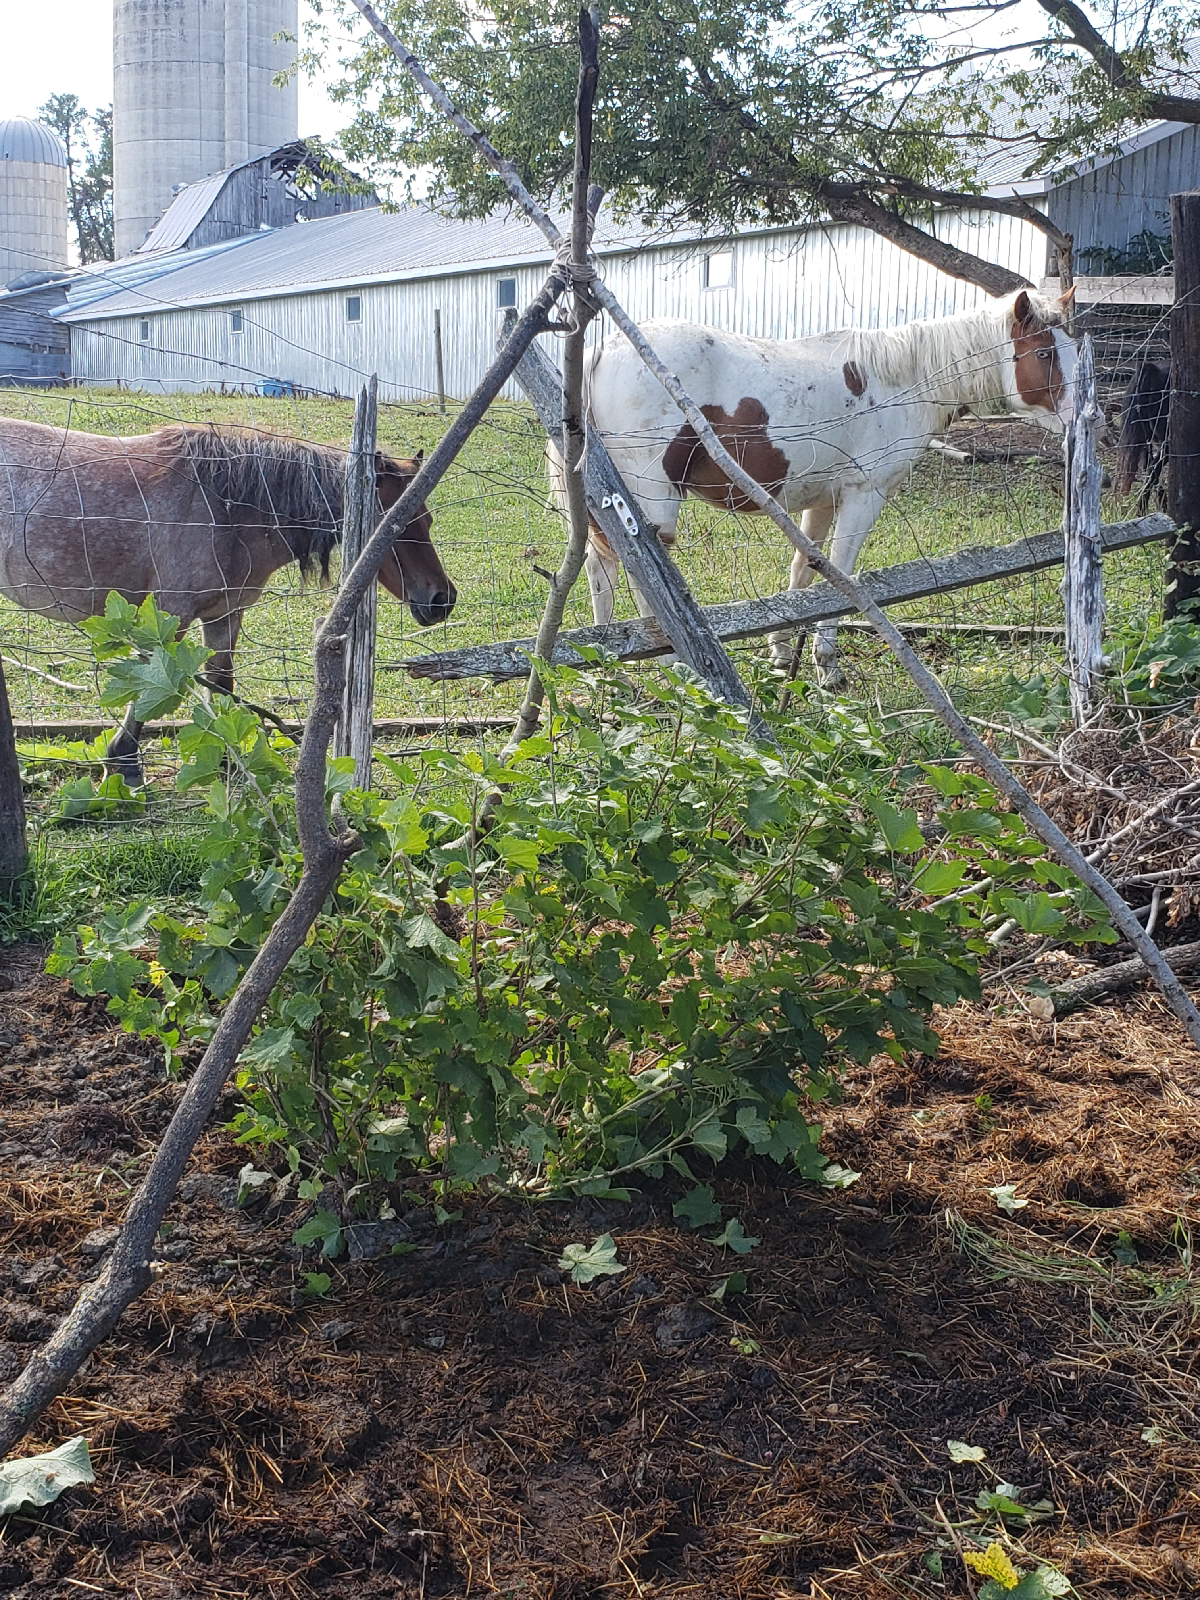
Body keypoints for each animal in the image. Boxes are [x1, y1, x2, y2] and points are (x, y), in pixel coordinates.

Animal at [0, 417, 455, 770]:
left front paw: (227, 761)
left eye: (428, 520)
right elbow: (151, 690)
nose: (442, 599)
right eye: (396, 525)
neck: (226, 508)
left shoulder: (224, 613)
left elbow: (221, 684)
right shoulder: (168, 617)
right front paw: (124, 762)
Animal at [559, 286, 1075, 685]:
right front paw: (827, 664)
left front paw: (783, 651)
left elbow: (804, 574)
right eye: (1044, 352)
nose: (1085, 420)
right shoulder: (863, 497)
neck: (898, 382)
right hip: (652, 502)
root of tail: (606, 349)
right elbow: (841, 575)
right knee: (640, 576)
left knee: (602, 570)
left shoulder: (822, 501)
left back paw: (612, 665)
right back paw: (673, 664)